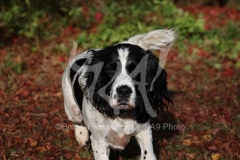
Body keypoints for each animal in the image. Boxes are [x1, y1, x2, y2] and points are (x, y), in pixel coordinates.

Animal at [61, 29, 174, 159]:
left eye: (136, 70)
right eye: (110, 69)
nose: (123, 91)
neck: (122, 115)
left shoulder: (144, 131)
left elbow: (148, 154)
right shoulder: (99, 143)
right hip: (71, 108)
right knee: (78, 121)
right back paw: (81, 136)